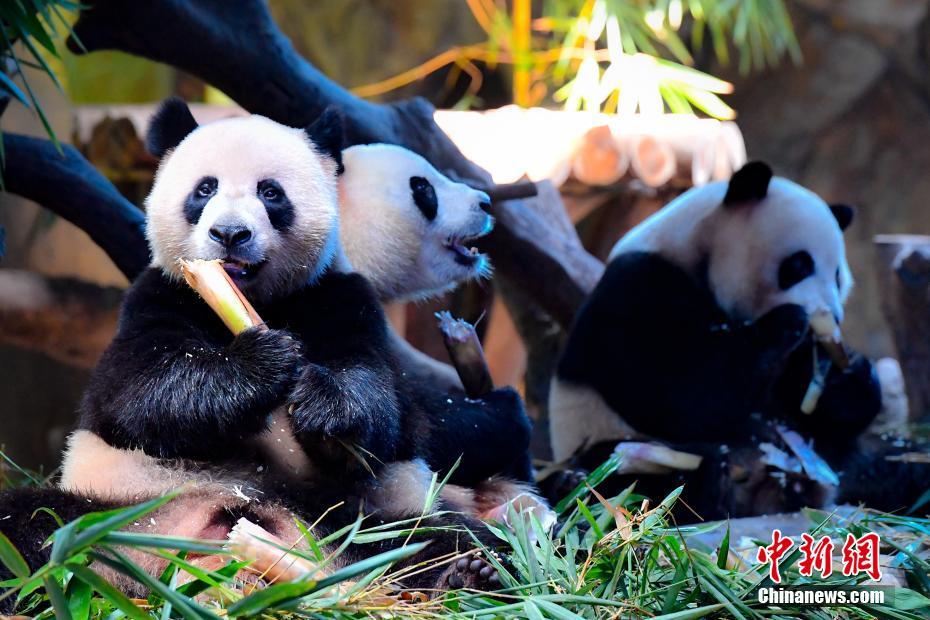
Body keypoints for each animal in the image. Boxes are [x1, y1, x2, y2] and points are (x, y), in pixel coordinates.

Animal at [548, 162, 927, 518]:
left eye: (837, 276)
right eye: (799, 265)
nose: (830, 316)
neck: (695, 251)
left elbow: (807, 404)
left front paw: (845, 374)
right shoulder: (638, 287)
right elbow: (678, 389)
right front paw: (785, 322)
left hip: (838, 456)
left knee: (900, 459)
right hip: (615, 440)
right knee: (638, 472)